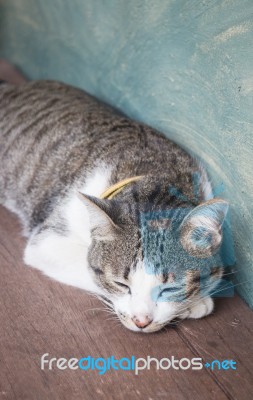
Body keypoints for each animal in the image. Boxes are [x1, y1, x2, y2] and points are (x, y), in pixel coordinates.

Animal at [0, 76, 228, 332]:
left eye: (170, 288)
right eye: (121, 284)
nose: (141, 321)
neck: (154, 172)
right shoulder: (46, 242)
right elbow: (91, 269)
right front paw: (195, 303)